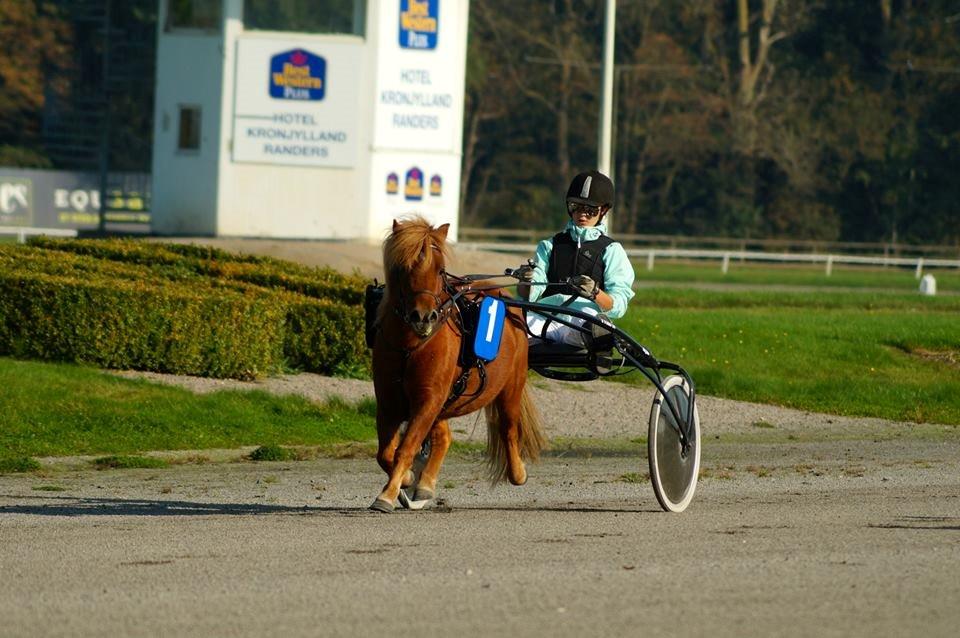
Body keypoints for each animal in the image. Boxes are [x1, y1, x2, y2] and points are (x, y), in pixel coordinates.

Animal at [370, 218, 544, 512]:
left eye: (439, 269)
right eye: (403, 268)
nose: (423, 317)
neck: (410, 345)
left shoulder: (428, 399)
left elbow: (405, 448)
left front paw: (388, 493)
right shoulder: (389, 400)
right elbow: (385, 452)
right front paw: (407, 480)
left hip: (512, 384)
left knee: (508, 428)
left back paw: (518, 473)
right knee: (443, 437)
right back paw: (425, 485)